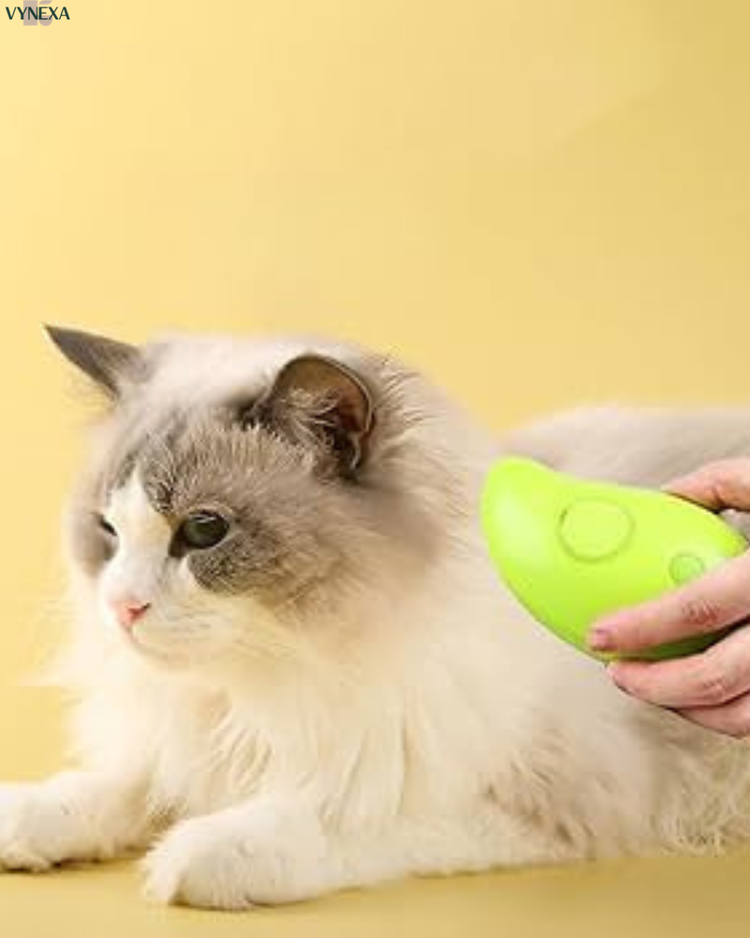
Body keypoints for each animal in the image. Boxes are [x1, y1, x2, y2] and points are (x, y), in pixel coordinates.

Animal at [1, 325, 750, 910]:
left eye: (204, 531)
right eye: (108, 530)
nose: (121, 606)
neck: (262, 681)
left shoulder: (519, 798)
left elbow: (336, 816)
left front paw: (191, 857)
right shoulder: (186, 744)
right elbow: (114, 785)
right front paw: (29, 819)